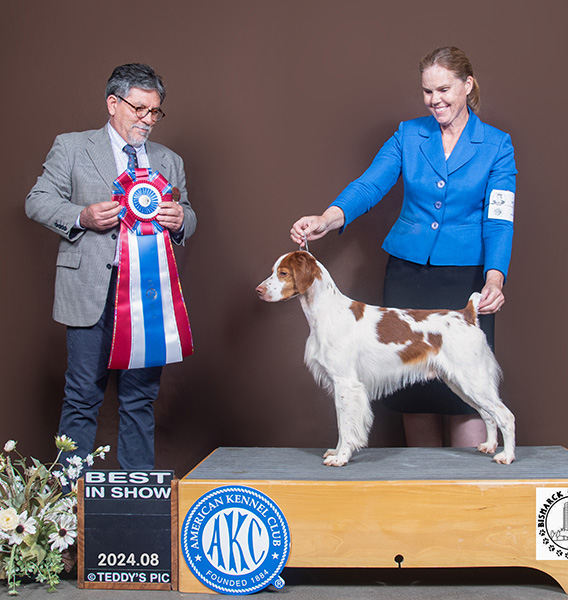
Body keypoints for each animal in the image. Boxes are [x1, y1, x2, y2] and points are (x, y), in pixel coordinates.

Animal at [256, 251, 515, 467]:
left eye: (283, 273)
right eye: (273, 270)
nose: (258, 290)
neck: (326, 311)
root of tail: (467, 314)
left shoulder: (346, 383)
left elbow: (346, 425)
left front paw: (341, 457)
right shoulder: (339, 384)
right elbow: (341, 423)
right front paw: (336, 452)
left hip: (473, 379)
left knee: (505, 415)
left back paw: (507, 456)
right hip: (461, 383)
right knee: (488, 415)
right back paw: (489, 446)